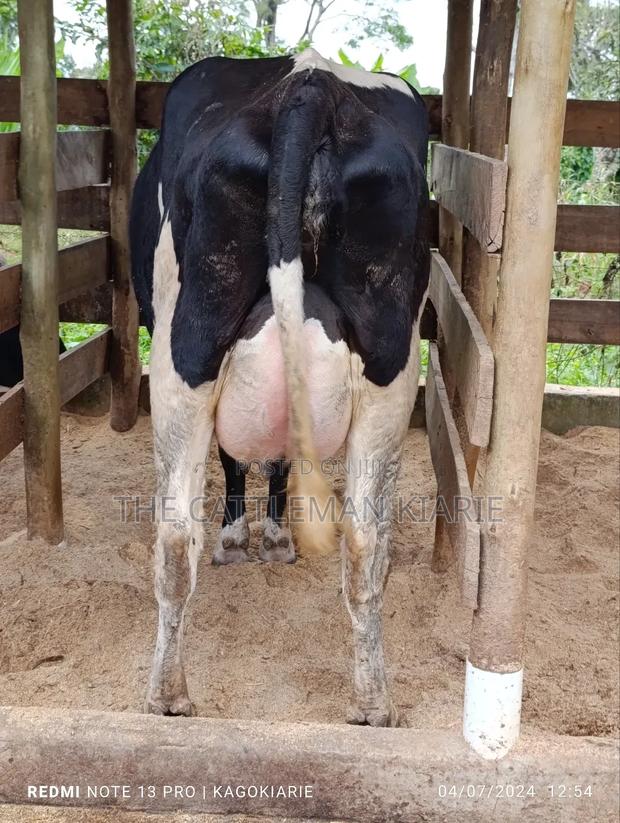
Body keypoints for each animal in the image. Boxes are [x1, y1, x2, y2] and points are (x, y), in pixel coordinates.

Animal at [130, 47, 430, 726]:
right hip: (392, 370)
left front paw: (245, 537)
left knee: (174, 536)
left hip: (183, 349)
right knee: (364, 541)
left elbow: (238, 460)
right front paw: (269, 536)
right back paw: (373, 704)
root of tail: (310, 85)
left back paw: (167, 696)